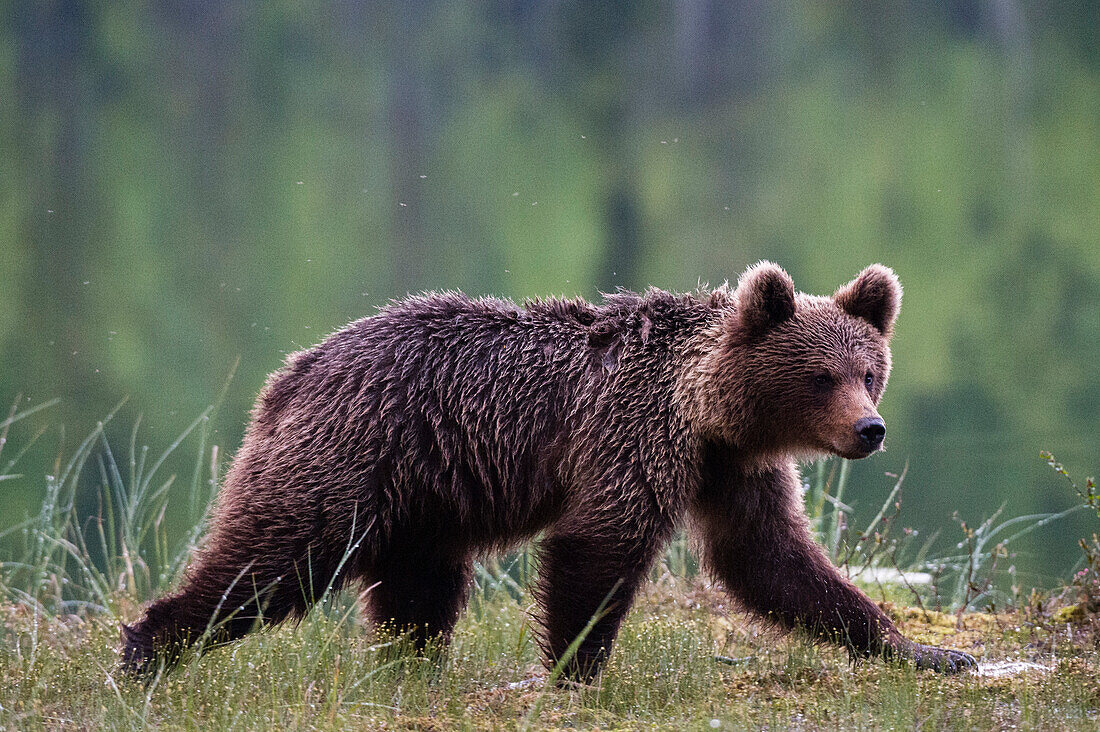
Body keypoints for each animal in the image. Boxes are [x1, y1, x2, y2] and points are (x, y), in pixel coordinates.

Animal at [122, 263, 981, 678]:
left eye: (869, 371)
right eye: (820, 376)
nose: (869, 430)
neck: (705, 410)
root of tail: (292, 371)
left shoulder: (732, 471)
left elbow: (774, 561)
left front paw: (930, 651)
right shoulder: (631, 435)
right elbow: (599, 548)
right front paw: (576, 671)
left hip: (424, 498)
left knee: (420, 591)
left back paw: (411, 667)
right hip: (346, 460)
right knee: (272, 559)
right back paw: (148, 649)